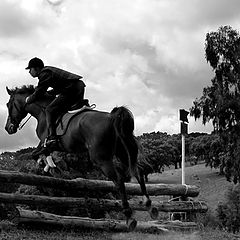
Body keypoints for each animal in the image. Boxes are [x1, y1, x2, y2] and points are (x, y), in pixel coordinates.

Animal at [4, 85, 154, 230]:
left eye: (8, 104)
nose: (8, 128)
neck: (42, 112)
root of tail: (112, 117)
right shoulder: (47, 146)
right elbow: (39, 155)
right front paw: (52, 168)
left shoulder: (46, 144)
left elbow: (34, 154)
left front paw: (50, 167)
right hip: (122, 152)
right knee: (138, 172)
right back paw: (149, 204)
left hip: (101, 159)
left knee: (118, 180)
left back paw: (129, 216)